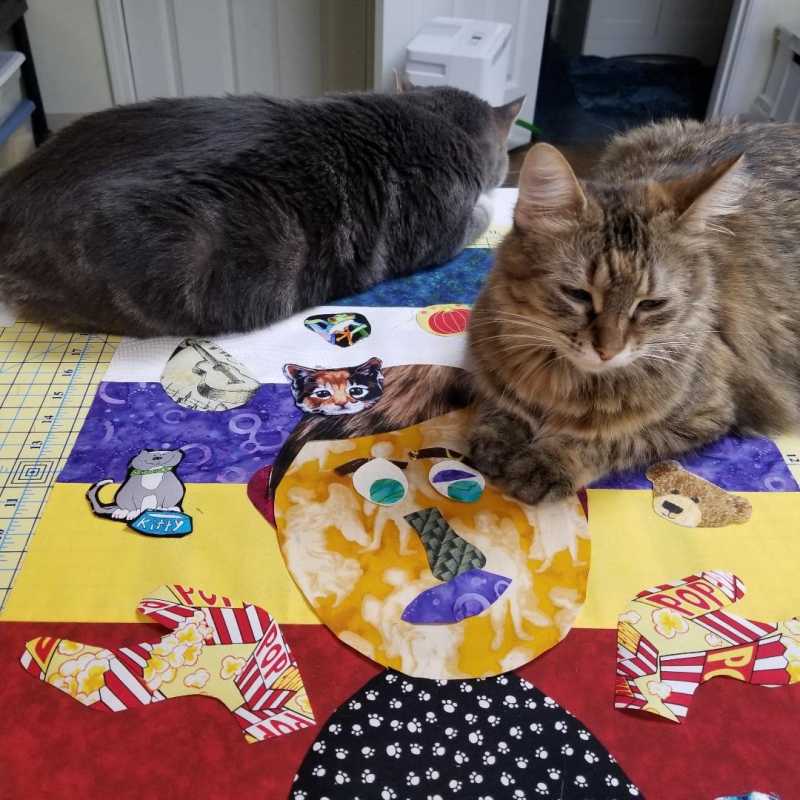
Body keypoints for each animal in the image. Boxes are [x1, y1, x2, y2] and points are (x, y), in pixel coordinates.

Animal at [468, 118, 800, 505]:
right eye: (578, 295)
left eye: (650, 304)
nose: (607, 351)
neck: (558, 384)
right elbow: (502, 408)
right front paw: (498, 439)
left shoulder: (709, 413)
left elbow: (610, 441)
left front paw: (546, 462)